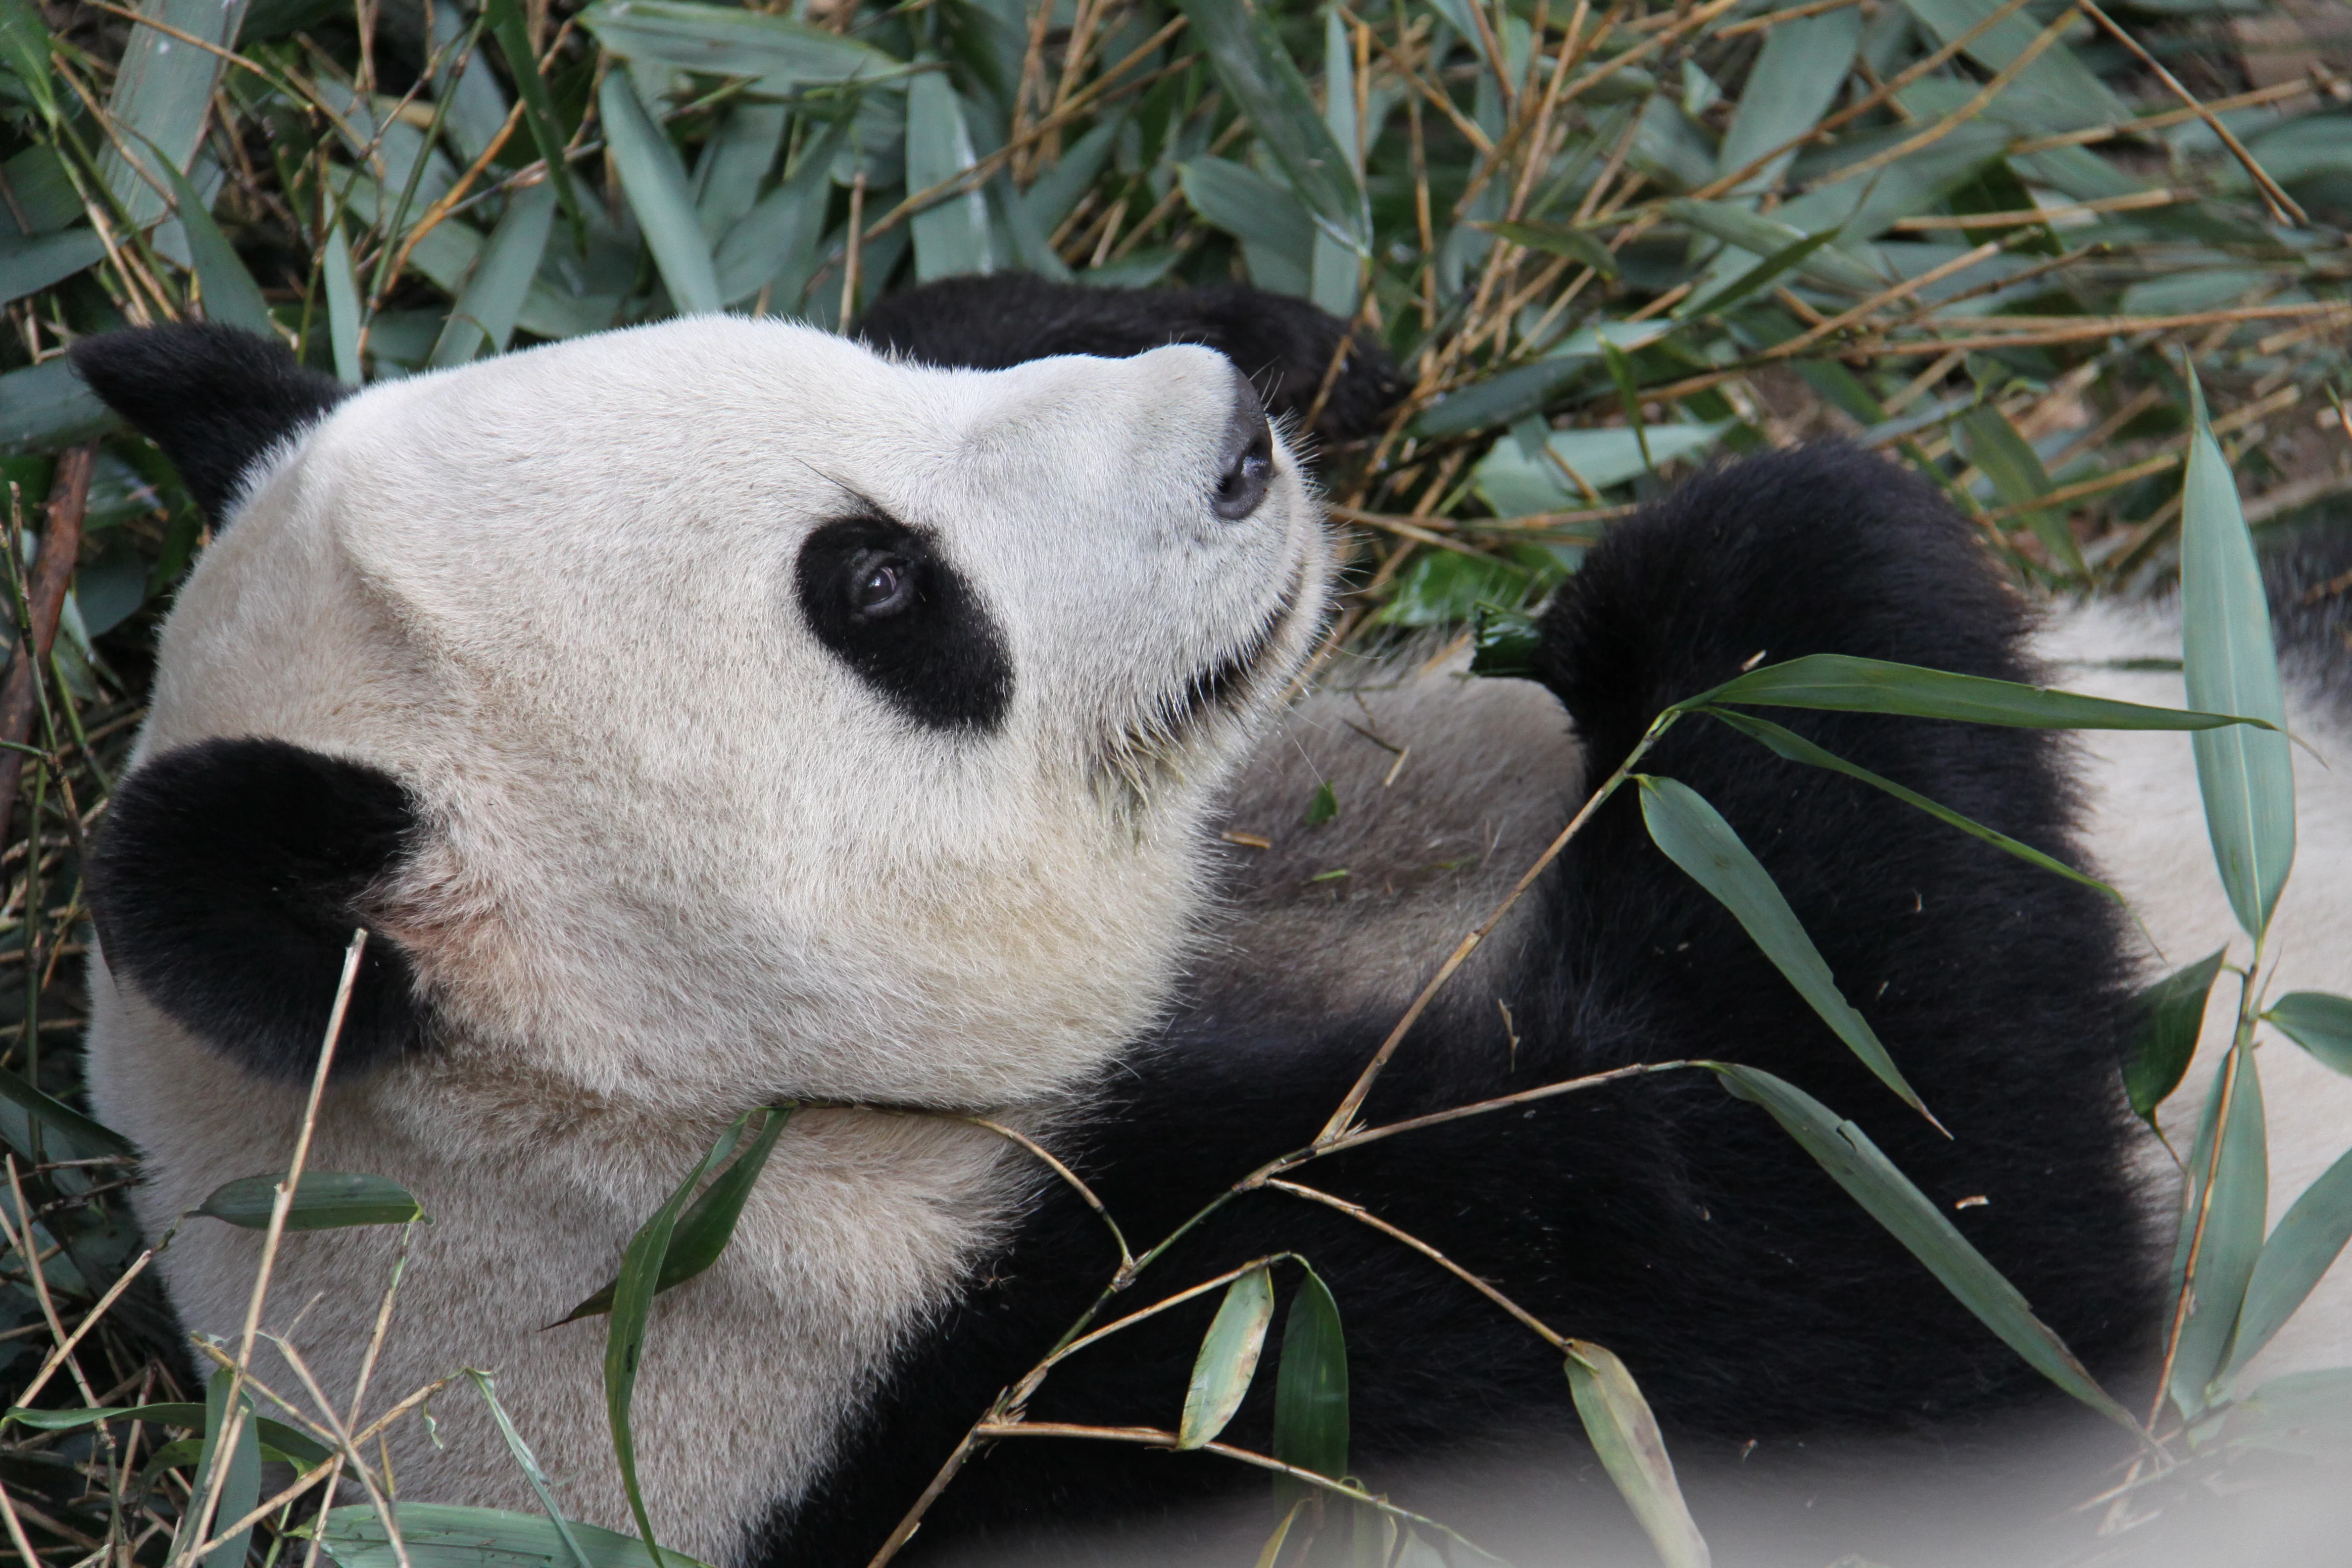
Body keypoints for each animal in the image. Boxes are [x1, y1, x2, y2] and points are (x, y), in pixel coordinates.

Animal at [59, 280, 2352, 1568]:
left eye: (865, 357)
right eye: (876, 589)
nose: (1239, 439)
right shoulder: (1114, 1366)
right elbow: (1906, 1254)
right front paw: (1757, 551)